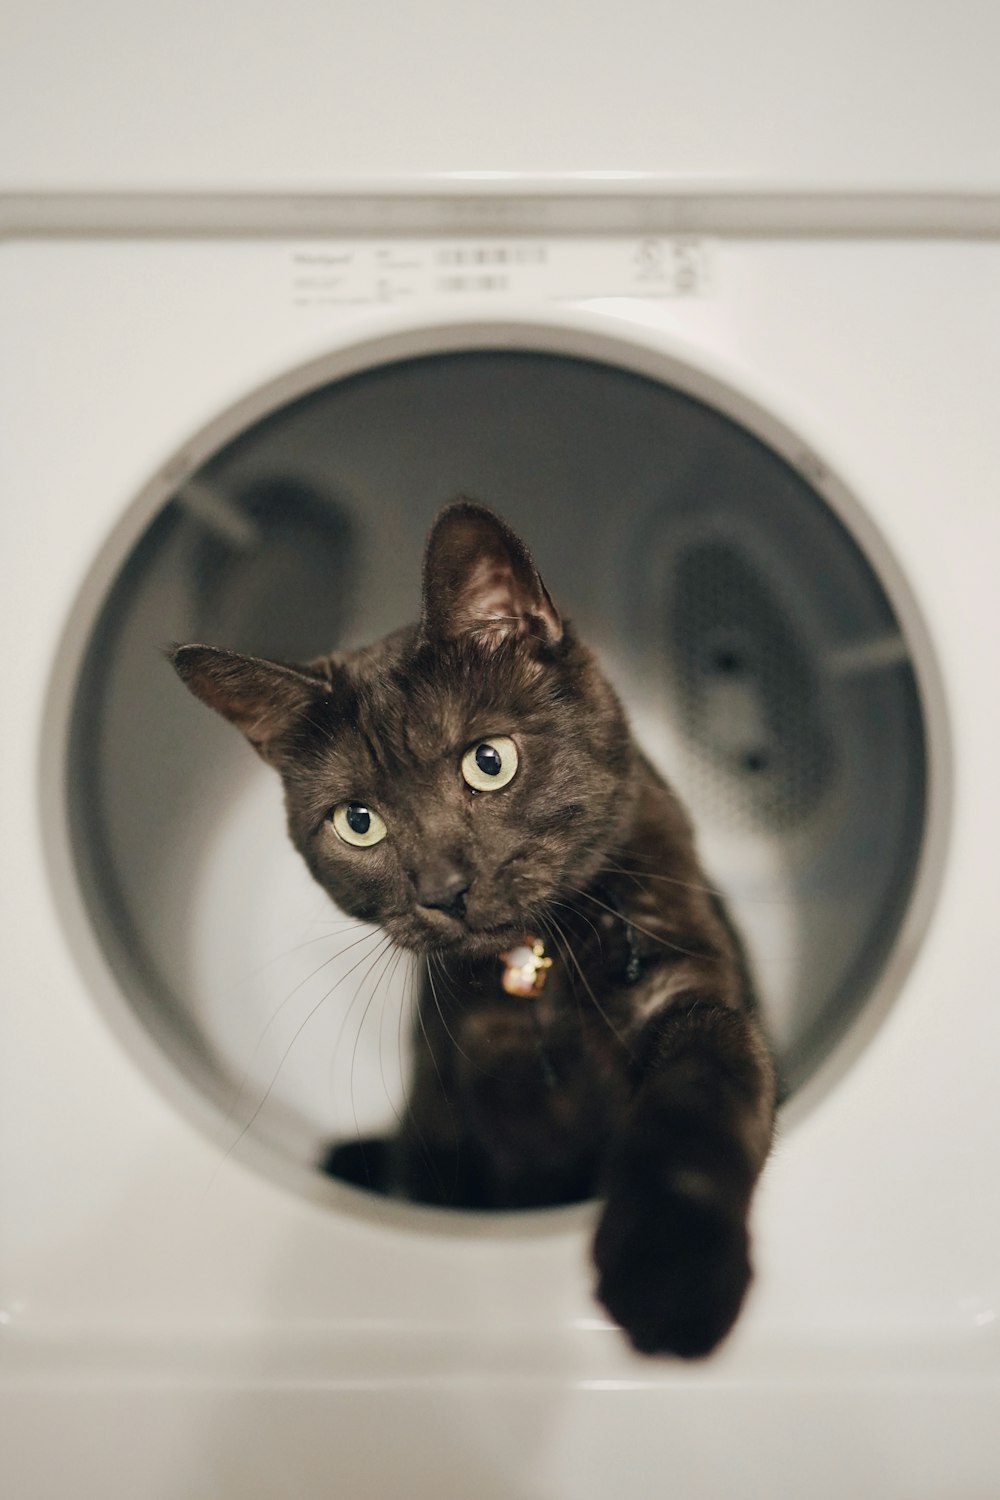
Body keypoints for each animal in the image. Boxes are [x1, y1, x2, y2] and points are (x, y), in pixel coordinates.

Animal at [176, 498, 779, 1356]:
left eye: (488, 762)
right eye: (357, 822)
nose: (444, 890)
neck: (536, 978)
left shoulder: (678, 983)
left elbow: (703, 1085)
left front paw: (671, 1271)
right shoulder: (461, 1090)